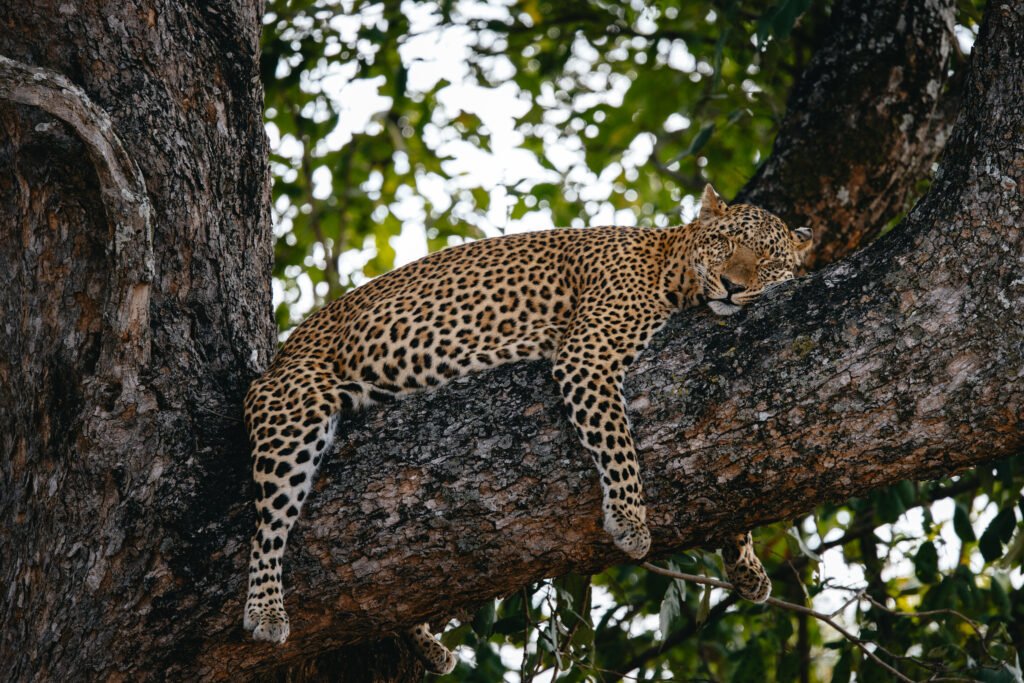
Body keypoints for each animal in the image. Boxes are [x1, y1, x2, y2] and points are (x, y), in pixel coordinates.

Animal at [243, 185, 811, 671]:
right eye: (726, 243)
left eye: (768, 261)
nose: (734, 287)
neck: (672, 264)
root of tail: (280, 355)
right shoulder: (588, 355)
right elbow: (618, 442)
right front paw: (629, 518)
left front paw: (747, 565)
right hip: (293, 414)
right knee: (267, 526)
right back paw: (265, 610)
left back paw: (426, 643)